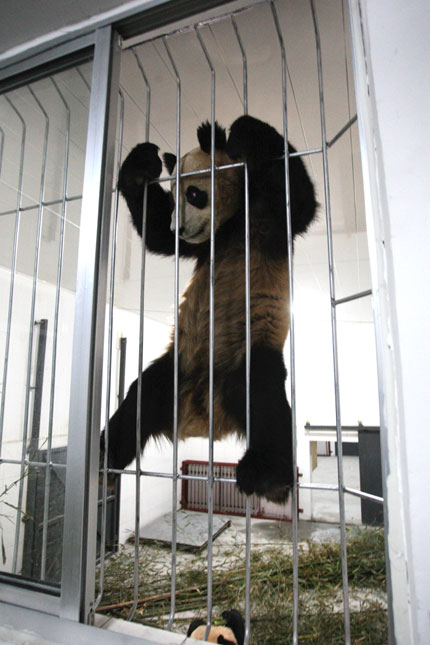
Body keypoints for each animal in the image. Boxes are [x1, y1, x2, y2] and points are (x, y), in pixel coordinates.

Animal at [103, 114, 318, 504]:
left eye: (194, 194)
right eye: (173, 197)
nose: (181, 229)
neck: (231, 224)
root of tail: (204, 416)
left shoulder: (266, 221)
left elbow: (298, 199)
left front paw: (242, 130)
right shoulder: (203, 245)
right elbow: (157, 234)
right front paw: (142, 163)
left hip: (248, 351)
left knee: (263, 394)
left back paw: (267, 476)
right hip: (177, 368)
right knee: (141, 397)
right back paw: (106, 455)